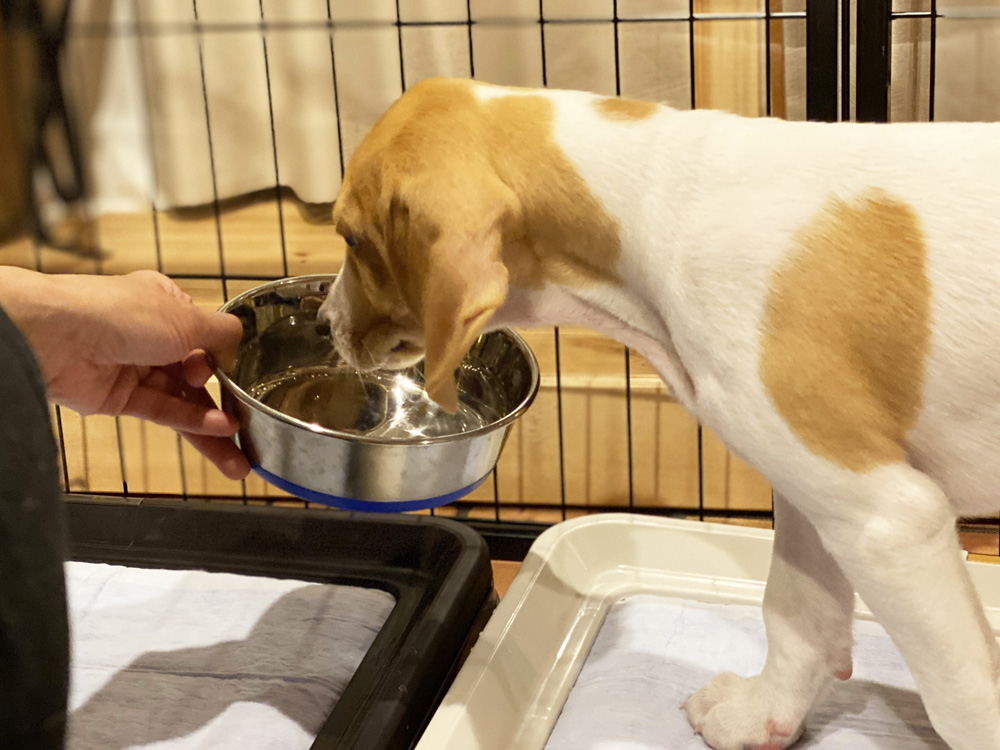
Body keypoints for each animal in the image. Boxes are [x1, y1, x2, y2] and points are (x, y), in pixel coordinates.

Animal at [320, 76, 1000, 750]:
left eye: (350, 238)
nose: (325, 320)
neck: (661, 192)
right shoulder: (816, 496)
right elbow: (796, 612)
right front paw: (761, 714)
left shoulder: (887, 520)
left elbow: (962, 702)